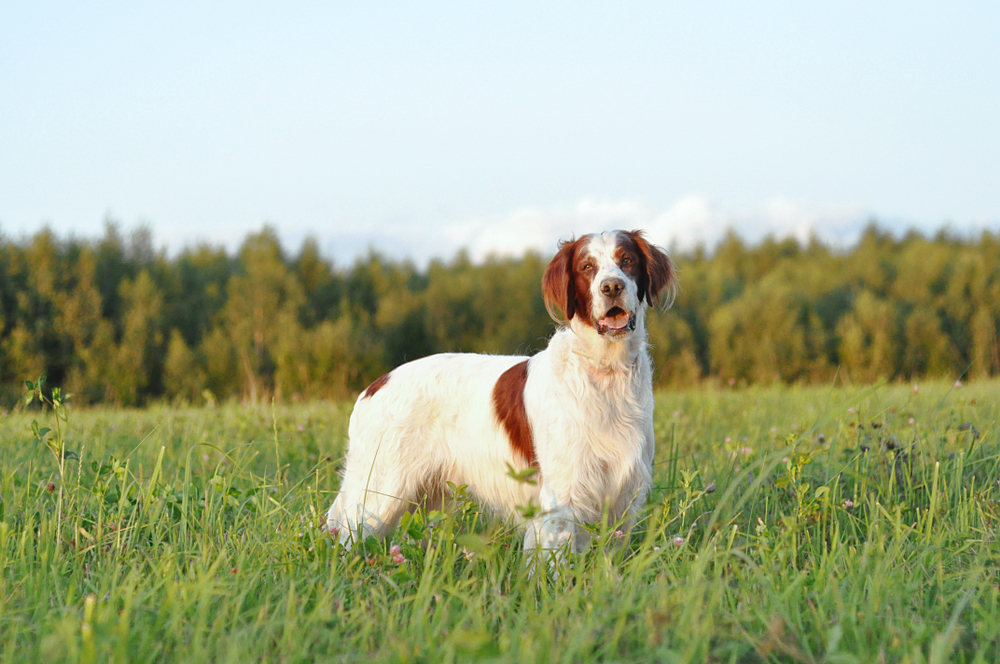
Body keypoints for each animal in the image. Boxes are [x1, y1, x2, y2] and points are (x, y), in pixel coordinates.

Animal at [324, 231, 676, 552]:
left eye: (627, 260)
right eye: (587, 267)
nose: (612, 287)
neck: (605, 371)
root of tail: (374, 385)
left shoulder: (623, 496)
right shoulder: (562, 494)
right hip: (380, 493)